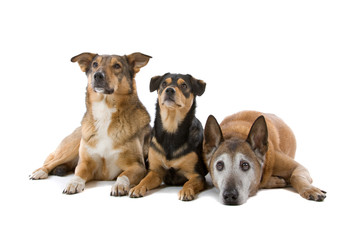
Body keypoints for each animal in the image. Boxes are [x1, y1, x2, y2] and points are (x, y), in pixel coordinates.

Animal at [30, 51, 152, 196]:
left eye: (117, 65)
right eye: (95, 64)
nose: (98, 75)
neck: (105, 112)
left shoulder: (137, 166)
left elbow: (123, 175)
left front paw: (119, 185)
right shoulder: (86, 162)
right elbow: (78, 173)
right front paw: (73, 183)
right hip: (72, 147)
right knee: (52, 161)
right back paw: (40, 171)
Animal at [129, 73, 208, 201]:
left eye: (184, 85)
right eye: (164, 84)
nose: (169, 90)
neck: (171, 130)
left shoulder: (196, 175)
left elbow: (189, 183)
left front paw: (186, 191)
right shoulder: (155, 172)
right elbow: (145, 180)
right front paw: (137, 187)